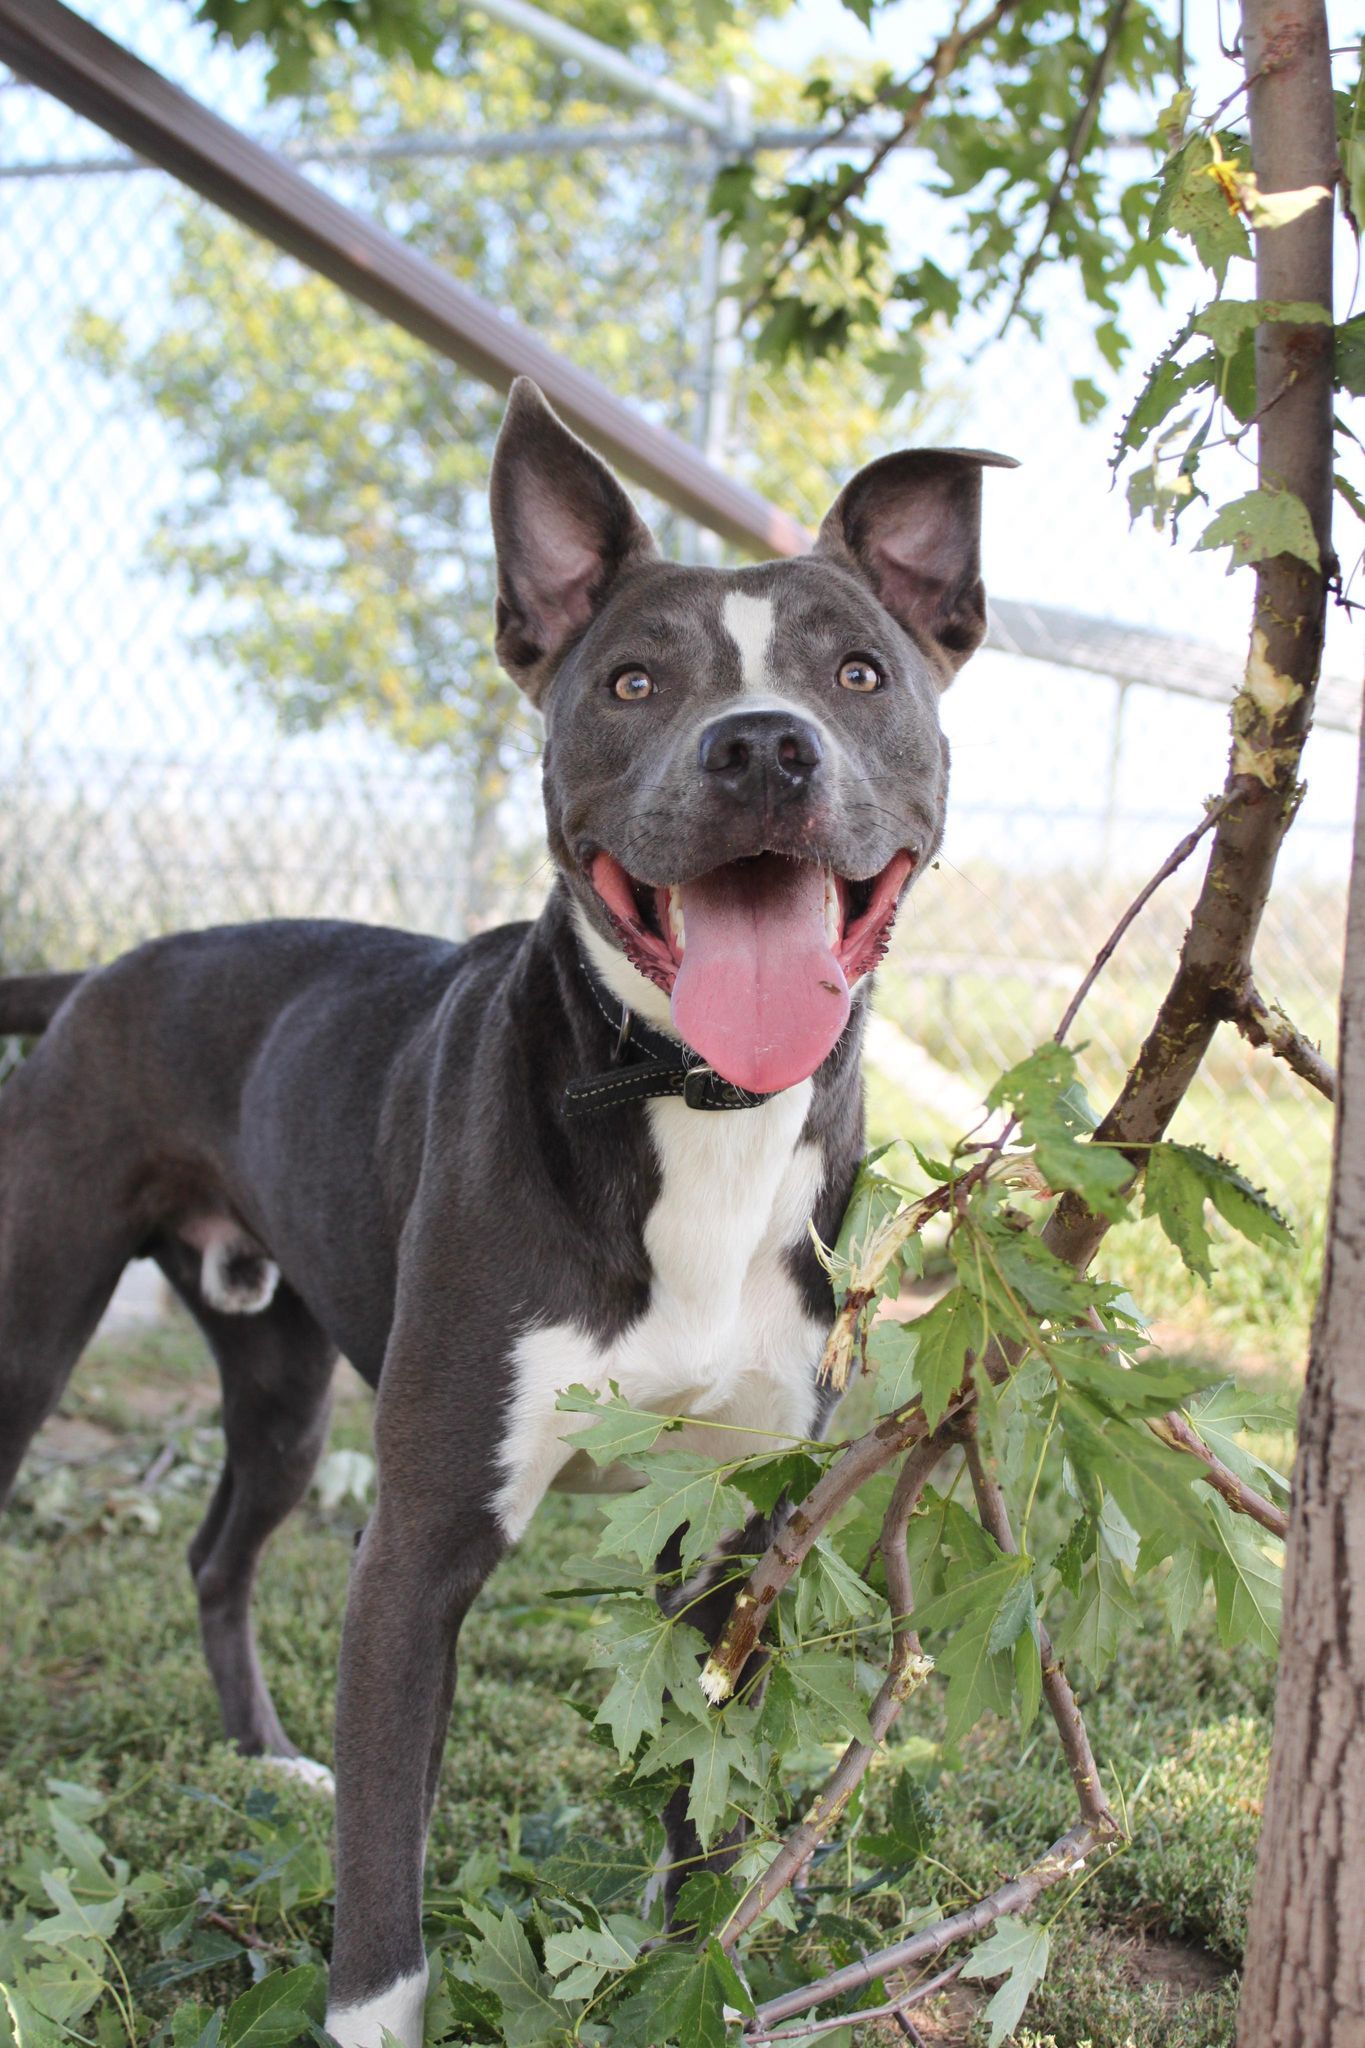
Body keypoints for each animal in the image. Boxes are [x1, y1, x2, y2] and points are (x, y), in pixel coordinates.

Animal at [0, 387, 1015, 2048]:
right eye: (632, 680)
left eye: (858, 673)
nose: (761, 745)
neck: (690, 1111)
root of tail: (97, 971)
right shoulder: (417, 1551)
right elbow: (384, 1926)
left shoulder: (738, 1542)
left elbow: (697, 1811)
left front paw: (691, 1965)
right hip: (36, 1325)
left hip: (281, 1380)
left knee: (218, 1553)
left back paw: (269, 1755)